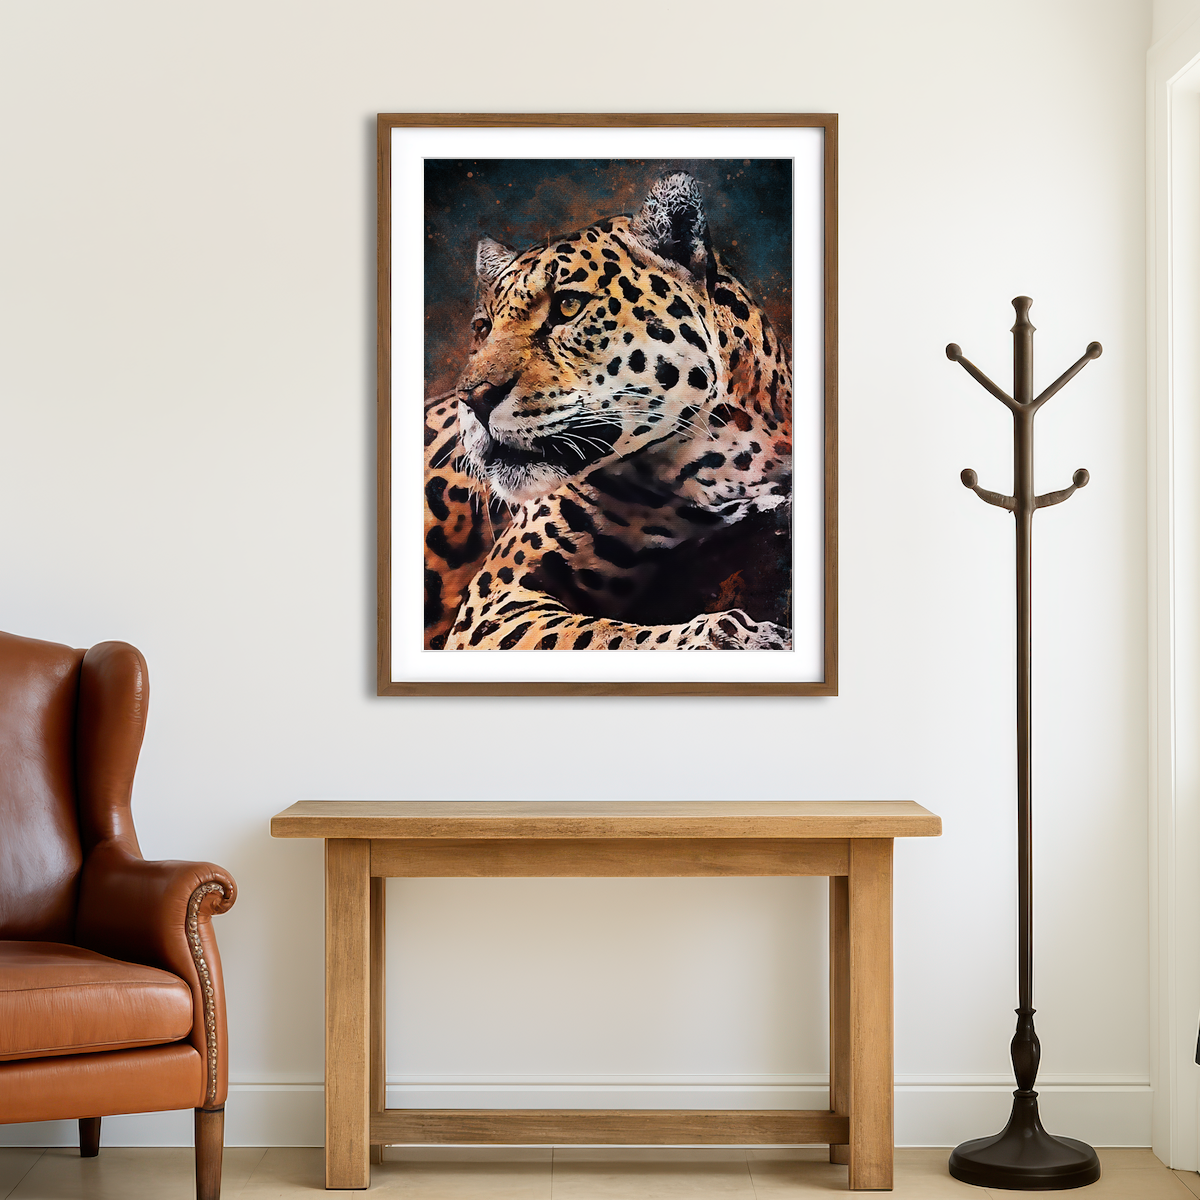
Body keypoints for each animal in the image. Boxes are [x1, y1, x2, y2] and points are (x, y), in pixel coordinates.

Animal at [422, 172, 794, 651]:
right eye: (482, 328)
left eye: (567, 306)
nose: (473, 398)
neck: (723, 468)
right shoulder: (497, 597)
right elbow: (606, 636)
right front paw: (739, 636)